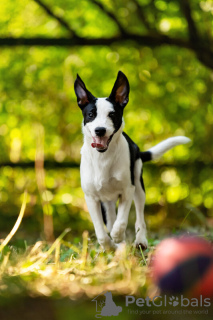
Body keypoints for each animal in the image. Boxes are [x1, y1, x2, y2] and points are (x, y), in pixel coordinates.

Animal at [74, 70, 190, 250]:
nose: (100, 130)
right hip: (107, 201)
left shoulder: (127, 189)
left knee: (139, 217)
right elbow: (101, 231)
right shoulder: (91, 197)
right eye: (91, 114)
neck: (103, 158)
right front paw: (108, 245)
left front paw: (117, 235)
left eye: (112, 114)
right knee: (110, 218)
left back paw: (140, 240)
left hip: (138, 185)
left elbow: (121, 220)